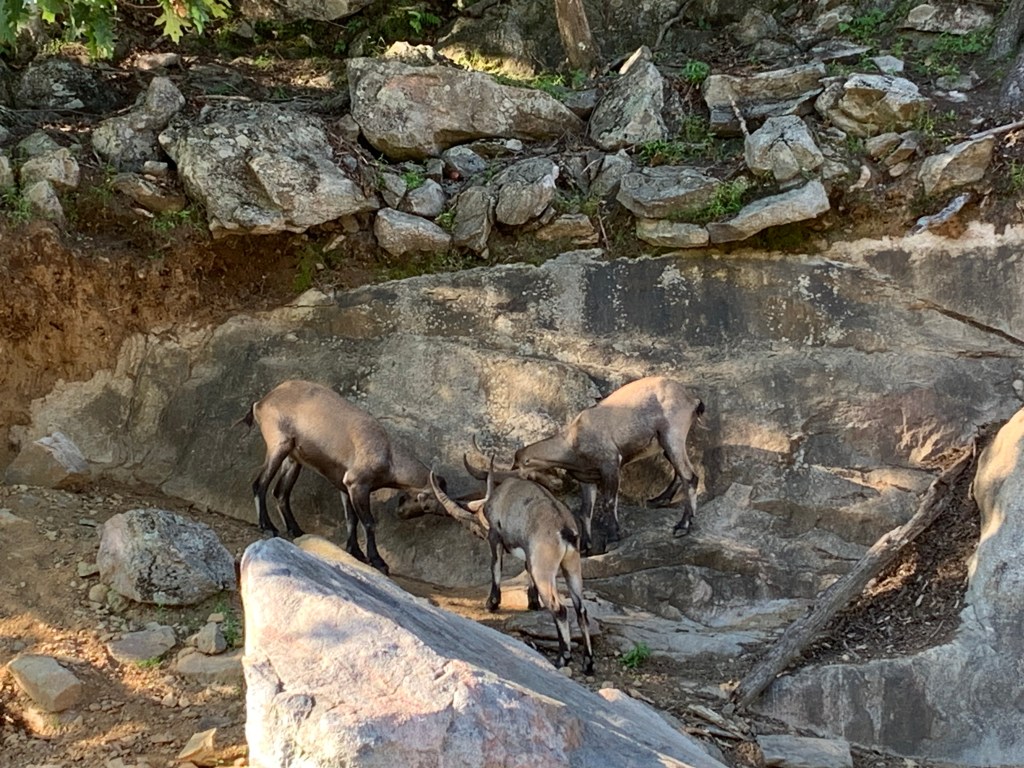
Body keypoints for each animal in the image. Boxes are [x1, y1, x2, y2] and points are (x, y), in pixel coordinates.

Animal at [239, 379, 441, 575]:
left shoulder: (345, 486)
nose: (401, 512)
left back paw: (296, 530)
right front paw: (378, 562)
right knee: (260, 484)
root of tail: (262, 402)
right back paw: (268, 526)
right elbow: (368, 522)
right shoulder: (358, 484)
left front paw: (356, 552)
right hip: (279, 445)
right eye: (427, 505)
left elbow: (351, 519)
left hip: (293, 458)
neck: (388, 454)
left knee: (280, 492)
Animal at [429, 464, 595, 675]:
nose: (477, 533)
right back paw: (588, 664)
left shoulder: (495, 536)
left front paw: (491, 604)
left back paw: (562, 659)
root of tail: (565, 530)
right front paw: (533, 603)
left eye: (478, 529)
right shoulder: (529, 554)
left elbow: (495, 566)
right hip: (571, 566)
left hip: (544, 568)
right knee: (581, 609)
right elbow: (526, 572)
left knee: (560, 609)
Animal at [510, 376, 705, 556]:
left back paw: (683, 525)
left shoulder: (610, 464)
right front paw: (585, 546)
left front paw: (612, 539)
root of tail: (691, 399)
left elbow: (609, 502)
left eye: (520, 469)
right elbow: (585, 512)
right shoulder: (587, 479)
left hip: (672, 434)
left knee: (690, 476)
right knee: (680, 472)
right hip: (666, 444)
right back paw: (659, 500)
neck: (571, 441)